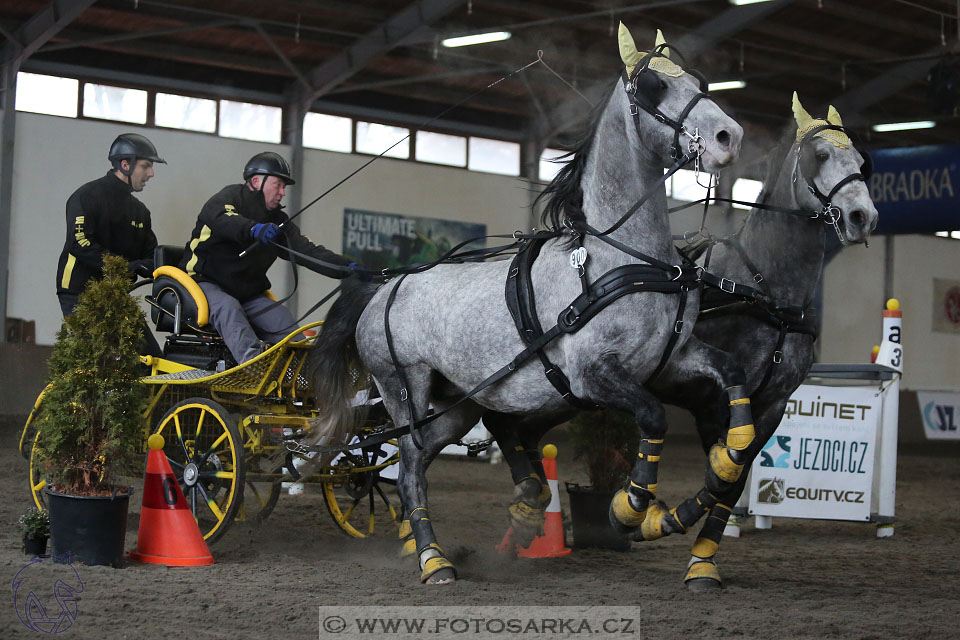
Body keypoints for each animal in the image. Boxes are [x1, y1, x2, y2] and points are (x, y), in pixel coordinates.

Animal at [312, 23, 748, 584]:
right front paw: (630, 509)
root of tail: (384, 286)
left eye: (699, 80)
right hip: (403, 388)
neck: (624, 256)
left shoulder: (667, 360)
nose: (728, 137)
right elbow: (652, 418)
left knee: (417, 462)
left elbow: (732, 375)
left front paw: (718, 470)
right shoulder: (593, 374)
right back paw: (433, 561)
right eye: (653, 87)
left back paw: (440, 537)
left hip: (455, 406)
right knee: (408, 470)